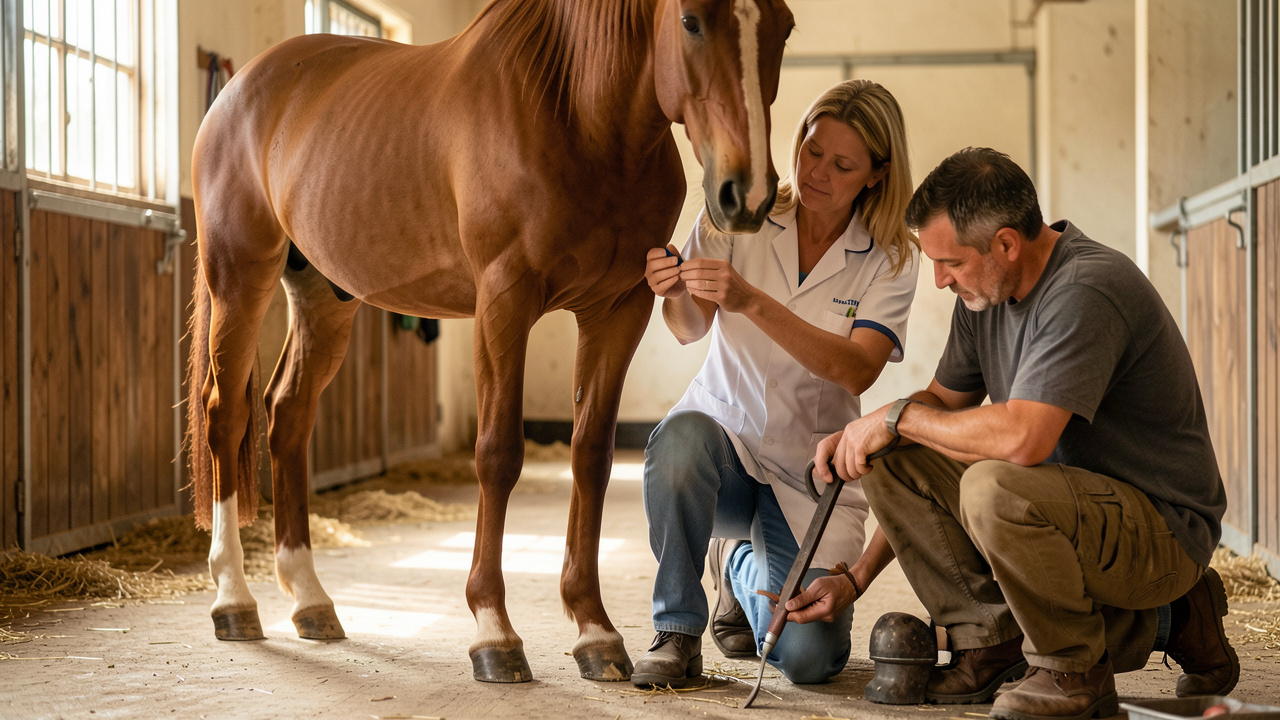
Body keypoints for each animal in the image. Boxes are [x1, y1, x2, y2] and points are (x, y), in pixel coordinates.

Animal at [186, 0, 793, 684]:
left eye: (785, 25)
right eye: (690, 20)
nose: (748, 194)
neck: (578, 113)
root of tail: (236, 91)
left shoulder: (618, 311)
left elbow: (592, 456)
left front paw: (595, 630)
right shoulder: (504, 300)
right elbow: (498, 453)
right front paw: (494, 631)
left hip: (324, 295)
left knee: (287, 414)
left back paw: (311, 600)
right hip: (242, 276)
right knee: (226, 415)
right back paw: (234, 600)